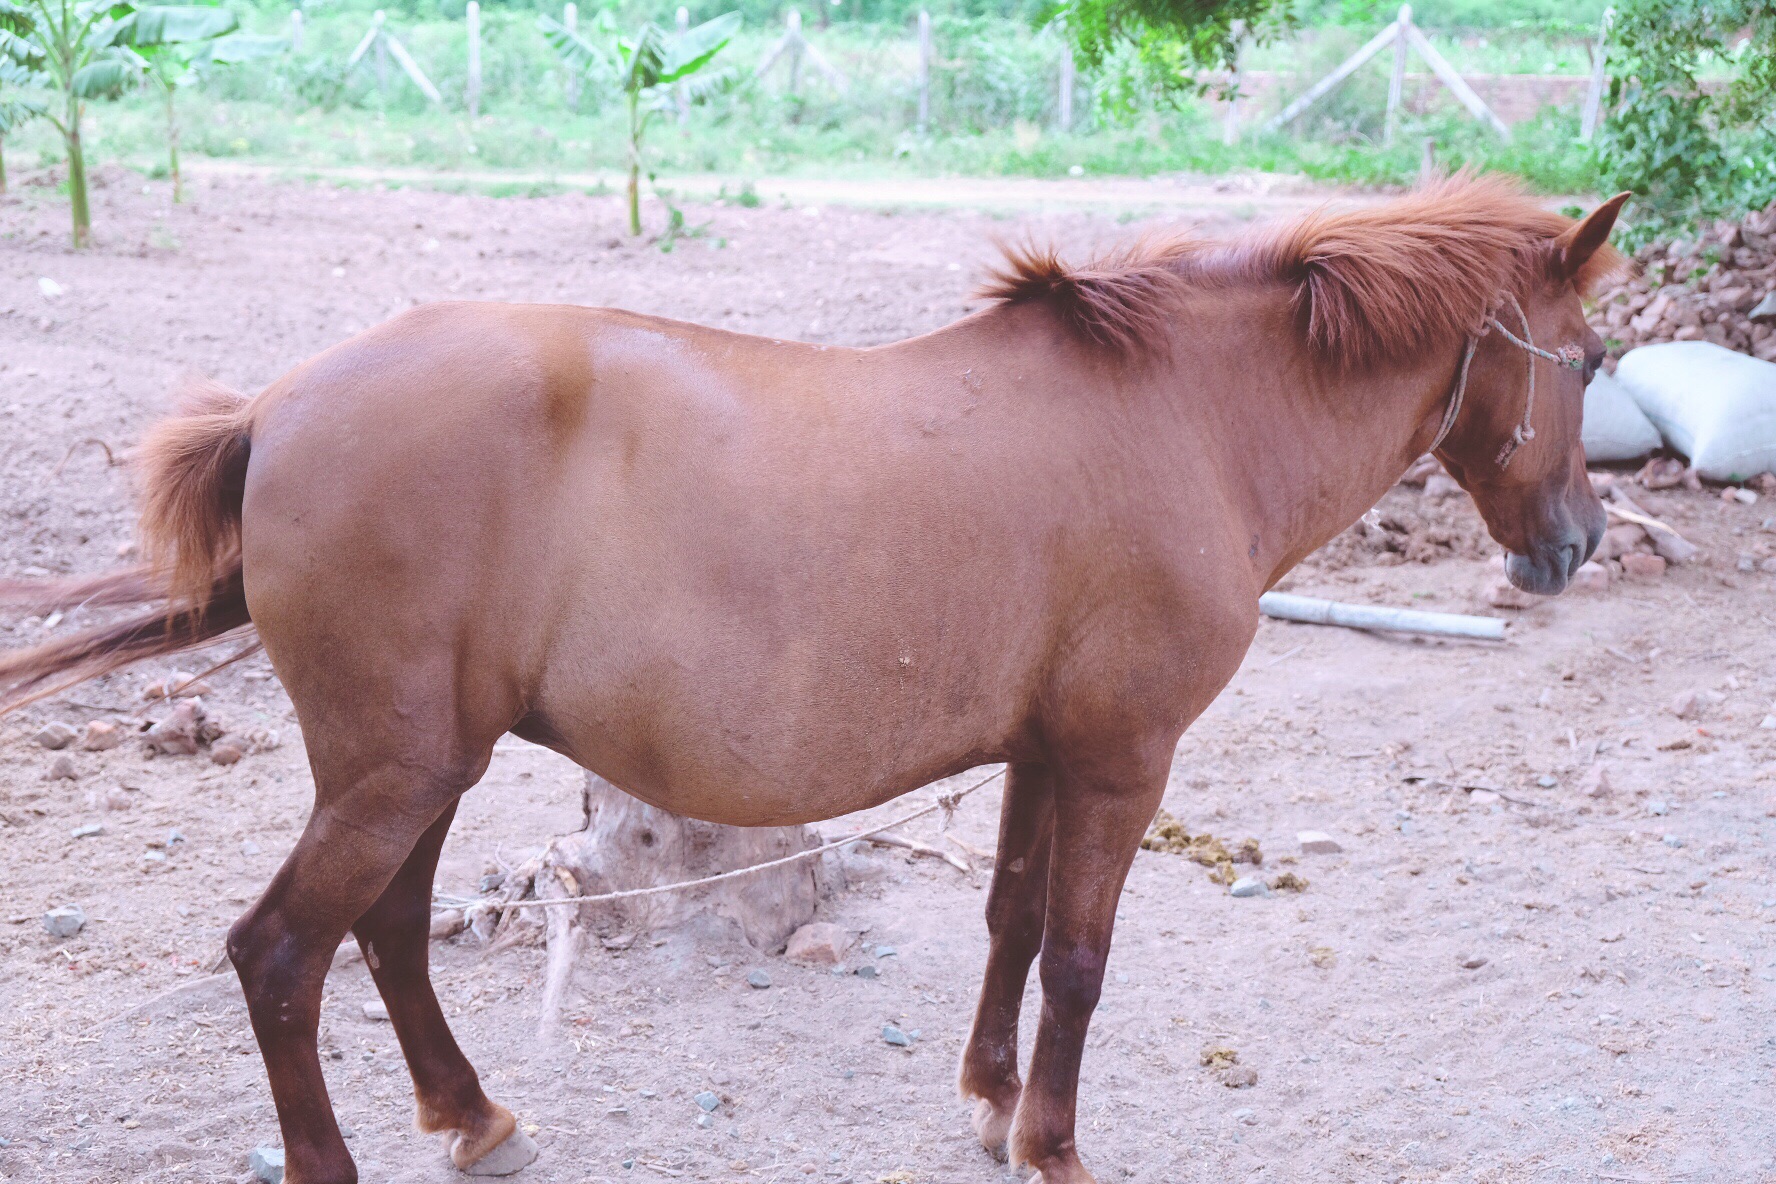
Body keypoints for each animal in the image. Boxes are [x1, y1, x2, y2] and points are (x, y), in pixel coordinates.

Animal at [0, 175, 1626, 1184]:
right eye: (1595, 355)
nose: (1577, 544)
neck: (1185, 420)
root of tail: (279, 405)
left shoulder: (1043, 749)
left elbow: (1012, 920)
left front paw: (988, 1102)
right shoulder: (1123, 756)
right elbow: (1080, 957)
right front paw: (1053, 1141)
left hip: (422, 768)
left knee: (388, 935)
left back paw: (474, 1116)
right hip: (394, 772)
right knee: (282, 955)